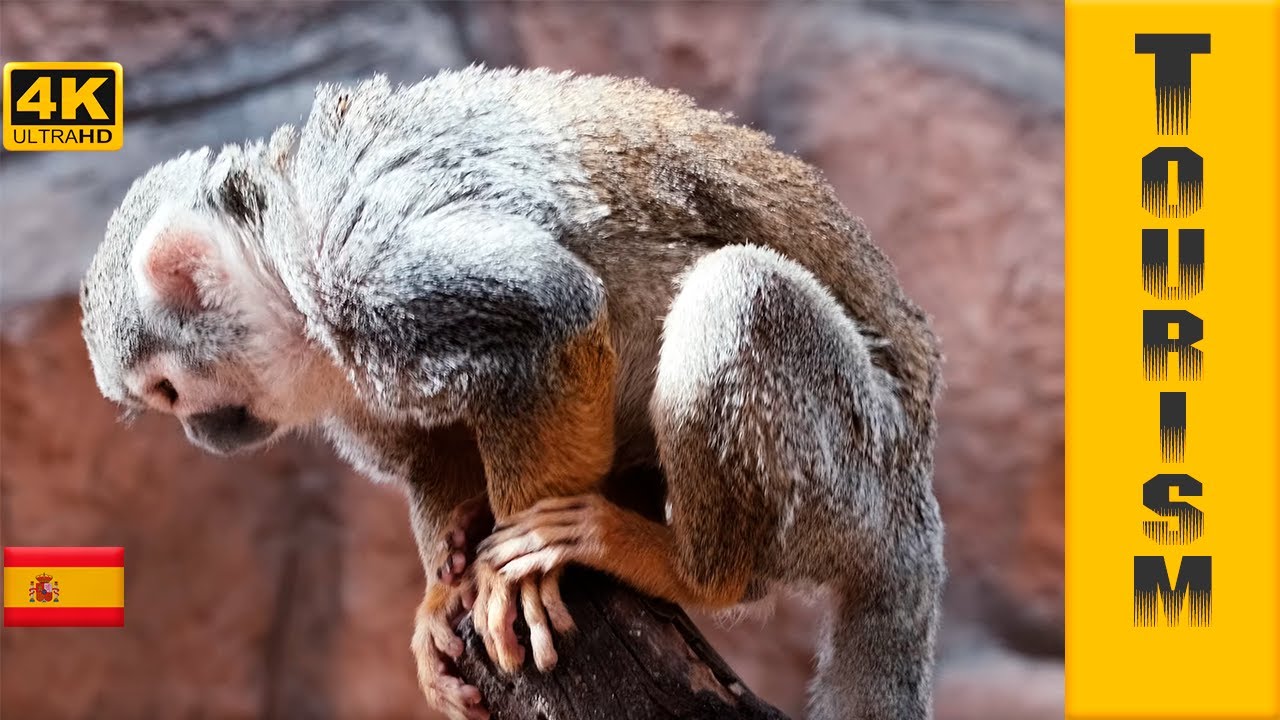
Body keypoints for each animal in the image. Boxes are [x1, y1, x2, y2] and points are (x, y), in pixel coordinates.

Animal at [80, 67, 945, 720]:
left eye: (167, 392)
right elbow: (427, 446)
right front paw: (442, 587)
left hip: (851, 470)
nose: (203, 436)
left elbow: (548, 319)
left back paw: (687, 570)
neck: (286, 256)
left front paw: (515, 578)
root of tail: (914, 521)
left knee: (737, 292)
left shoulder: (364, 262)